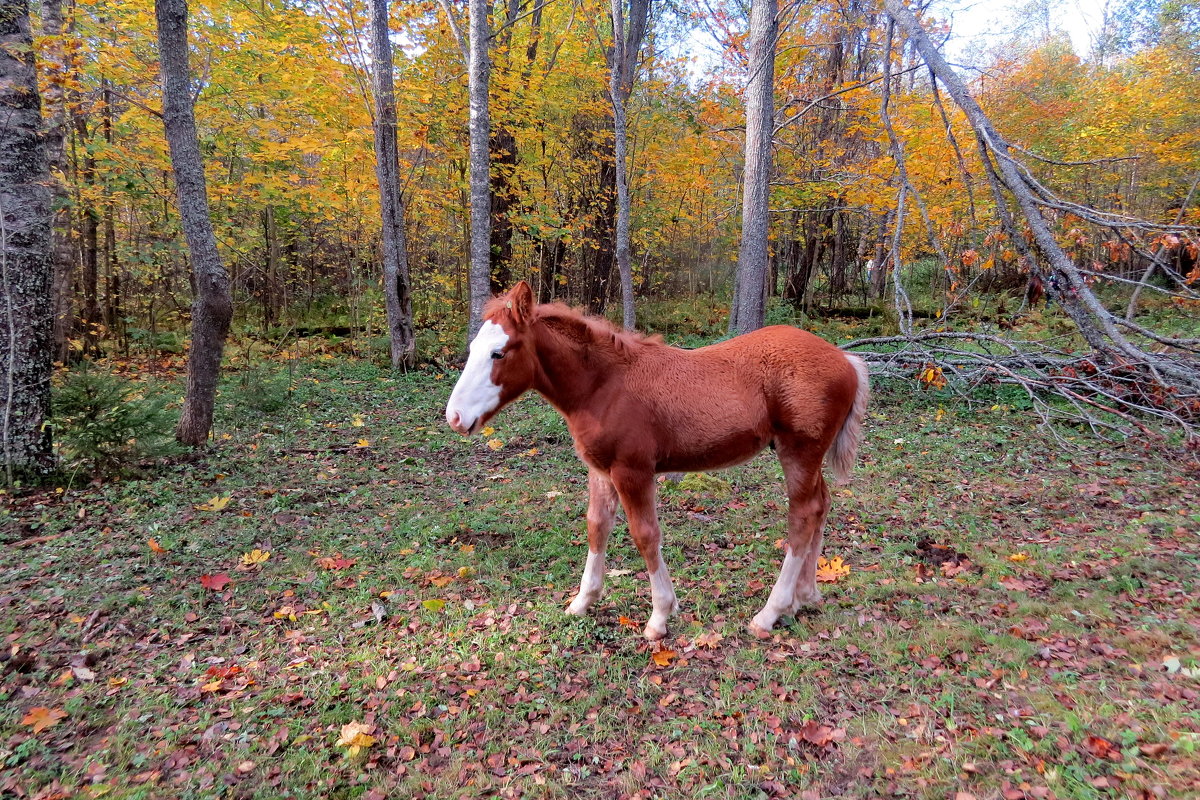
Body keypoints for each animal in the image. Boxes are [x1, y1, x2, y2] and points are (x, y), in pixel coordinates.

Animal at [446, 281, 868, 638]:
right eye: (473, 348)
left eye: (498, 352)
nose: (455, 417)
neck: (603, 386)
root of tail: (846, 359)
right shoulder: (600, 471)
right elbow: (597, 526)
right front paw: (583, 601)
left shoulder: (632, 471)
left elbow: (645, 535)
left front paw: (660, 616)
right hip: (807, 457)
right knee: (821, 505)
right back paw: (804, 597)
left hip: (799, 452)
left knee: (803, 516)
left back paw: (770, 612)